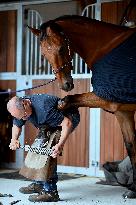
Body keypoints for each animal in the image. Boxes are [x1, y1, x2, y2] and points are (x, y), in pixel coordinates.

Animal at [27, 15, 136, 198]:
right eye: (43, 54)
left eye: (61, 48)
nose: (65, 85)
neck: (105, 47)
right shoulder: (123, 111)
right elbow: (131, 146)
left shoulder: (108, 99)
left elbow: (65, 101)